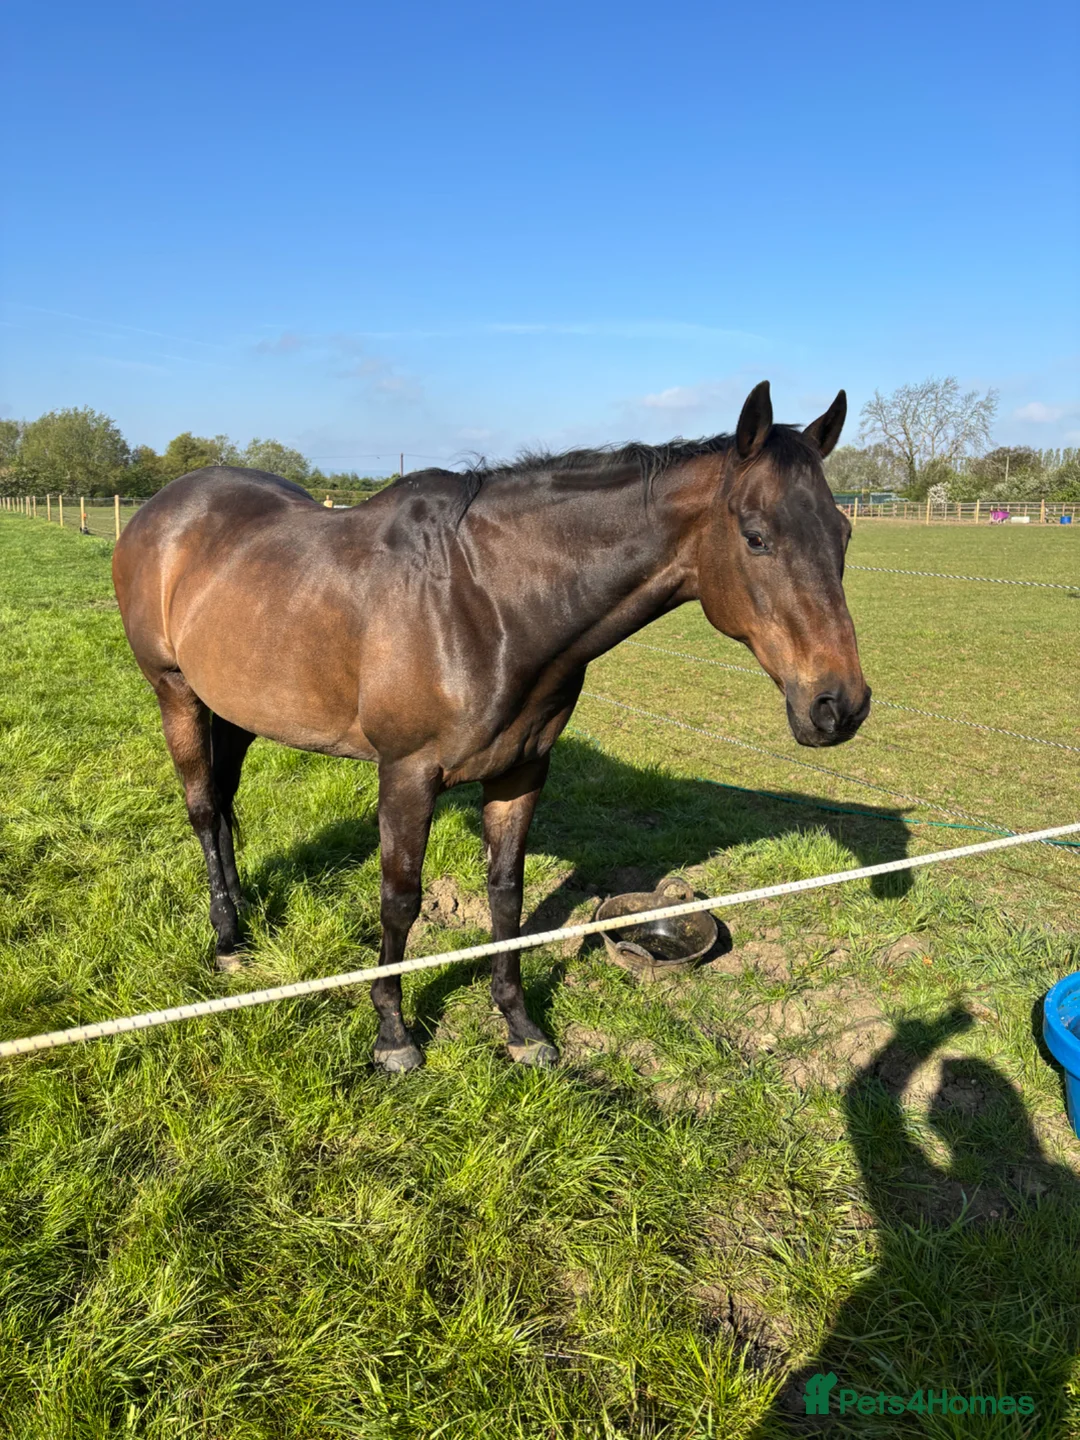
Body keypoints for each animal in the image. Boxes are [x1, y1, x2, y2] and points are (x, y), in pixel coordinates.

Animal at [112, 381, 870, 1073]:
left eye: (844, 532)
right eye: (756, 536)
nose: (840, 705)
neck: (485, 601)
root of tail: (163, 509)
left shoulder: (522, 770)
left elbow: (507, 898)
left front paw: (520, 1027)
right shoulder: (407, 774)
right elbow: (400, 900)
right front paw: (393, 1036)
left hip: (237, 707)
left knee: (225, 803)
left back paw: (242, 913)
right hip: (175, 694)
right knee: (204, 809)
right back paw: (227, 941)